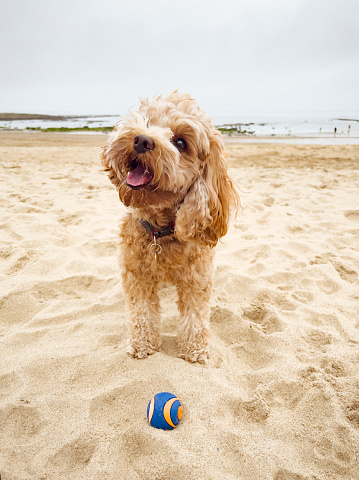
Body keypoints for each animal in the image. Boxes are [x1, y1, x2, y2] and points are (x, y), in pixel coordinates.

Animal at [100, 90, 239, 362]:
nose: (142, 140)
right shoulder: (137, 275)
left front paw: (195, 349)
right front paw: (143, 344)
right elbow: (142, 312)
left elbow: (194, 316)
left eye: (181, 143)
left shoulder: (197, 279)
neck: (161, 232)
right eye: (146, 121)